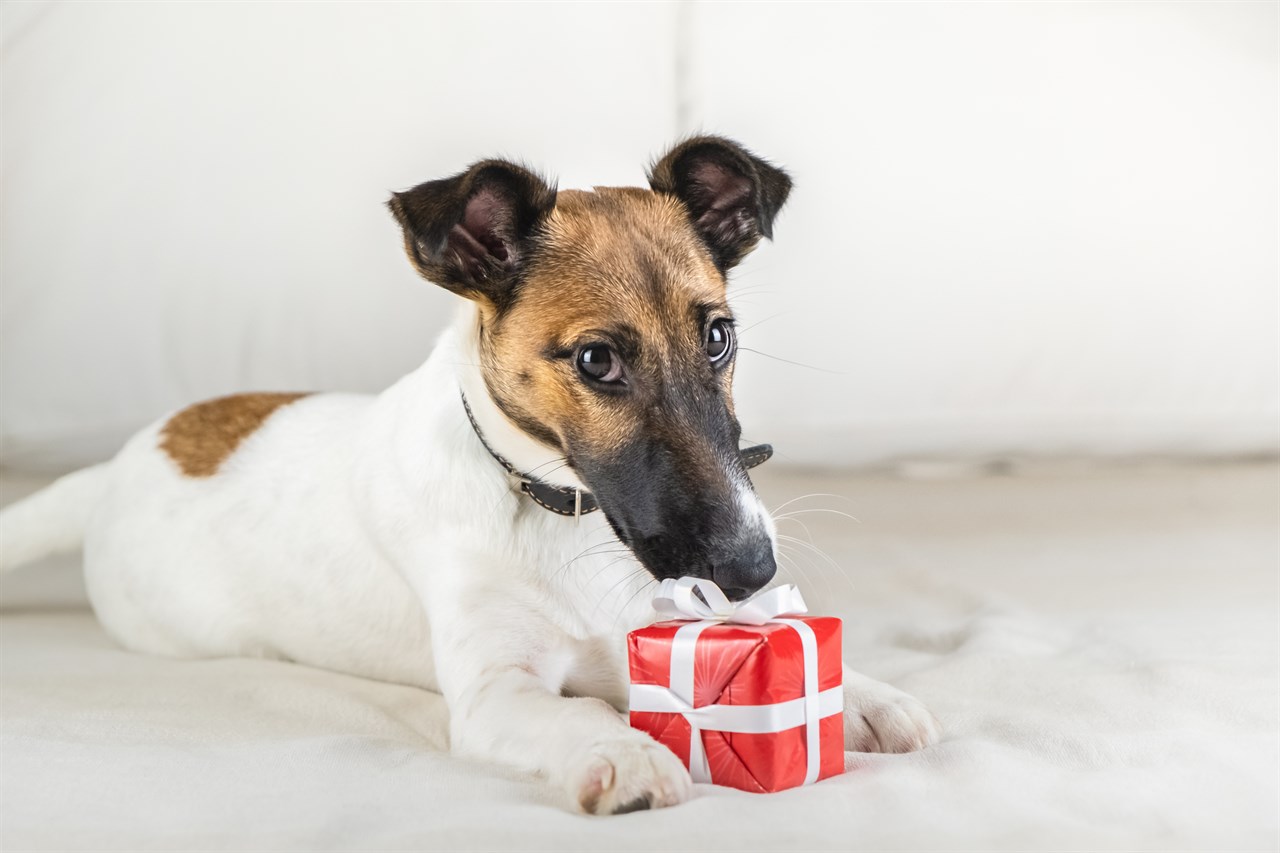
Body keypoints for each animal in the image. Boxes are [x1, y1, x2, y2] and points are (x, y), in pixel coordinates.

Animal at [0, 134, 942, 809]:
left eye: (718, 336)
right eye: (597, 360)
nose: (751, 567)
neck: (561, 510)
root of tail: (118, 464)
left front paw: (862, 694)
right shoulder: (496, 690)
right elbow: (575, 709)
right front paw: (622, 750)